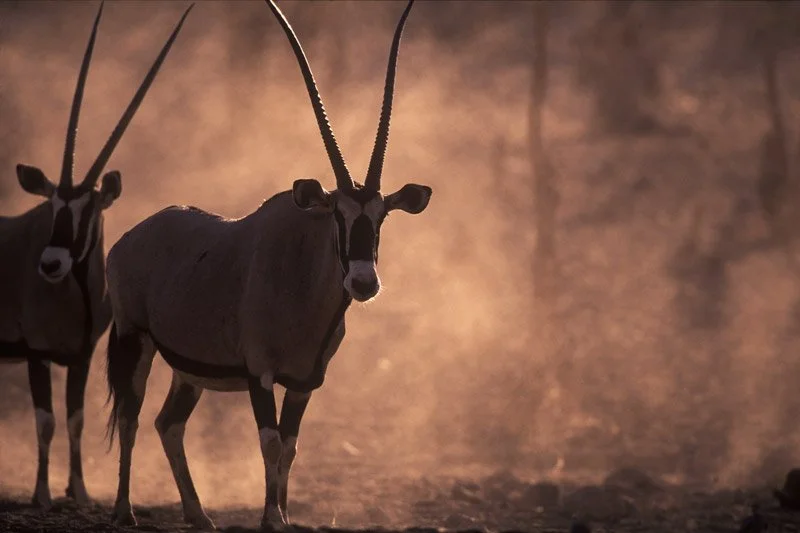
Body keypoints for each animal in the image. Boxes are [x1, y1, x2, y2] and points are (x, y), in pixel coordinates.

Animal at [0, 2, 192, 509]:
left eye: (89, 210)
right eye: (52, 205)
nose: (51, 264)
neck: (77, 295)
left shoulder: (80, 357)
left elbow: (75, 419)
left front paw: (81, 492)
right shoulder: (37, 352)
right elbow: (46, 421)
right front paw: (43, 494)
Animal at [105, 0, 430, 529]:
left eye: (382, 217)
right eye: (337, 215)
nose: (363, 282)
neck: (301, 280)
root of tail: (130, 238)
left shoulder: (303, 383)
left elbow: (291, 447)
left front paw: (279, 514)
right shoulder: (260, 373)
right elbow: (271, 443)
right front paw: (272, 518)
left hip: (187, 369)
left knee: (167, 423)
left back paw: (197, 513)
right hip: (135, 340)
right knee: (131, 418)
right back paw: (123, 510)